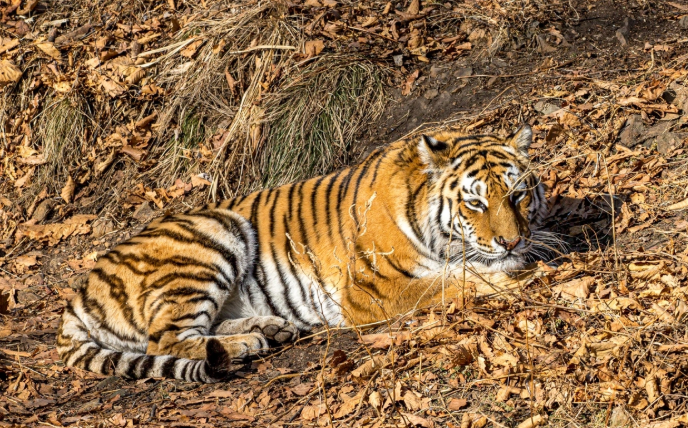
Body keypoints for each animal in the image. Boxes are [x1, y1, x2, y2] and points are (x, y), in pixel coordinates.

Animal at [56, 125, 548, 382]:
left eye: (518, 194)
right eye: (476, 203)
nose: (511, 242)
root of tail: (79, 293)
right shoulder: (373, 289)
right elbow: (453, 282)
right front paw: (514, 278)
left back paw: (268, 331)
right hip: (212, 234)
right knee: (167, 340)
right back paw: (244, 344)